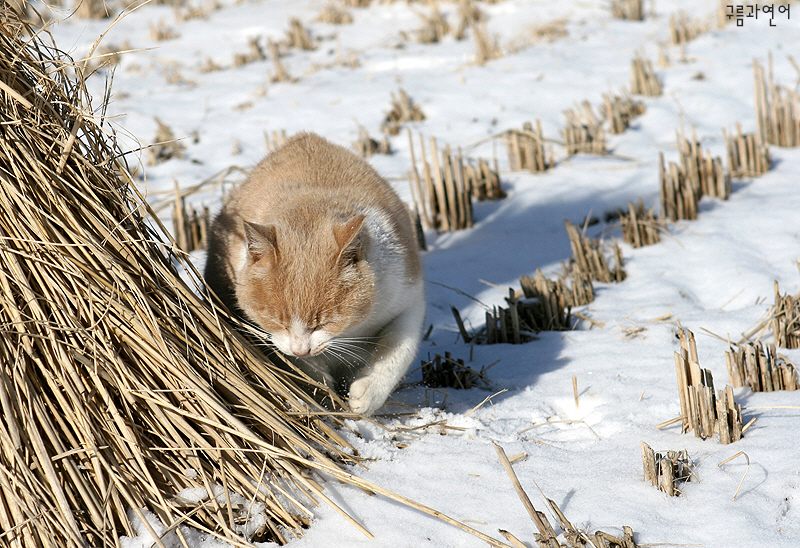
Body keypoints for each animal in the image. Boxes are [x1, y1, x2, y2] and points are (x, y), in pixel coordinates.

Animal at [203, 132, 424, 416]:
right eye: (277, 321)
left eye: (325, 322)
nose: (302, 349)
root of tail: (305, 138)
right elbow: (296, 363)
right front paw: (323, 392)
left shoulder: (408, 296)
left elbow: (398, 349)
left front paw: (367, 394)